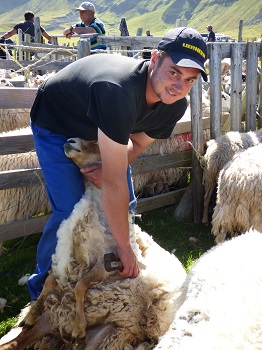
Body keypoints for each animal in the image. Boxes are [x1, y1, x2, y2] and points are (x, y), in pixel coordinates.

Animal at [1, 137, 187, 350]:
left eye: (97, 143)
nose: (69, 140)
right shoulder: (68, 260)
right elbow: (49, 281)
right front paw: (32, 315)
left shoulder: (104, 265)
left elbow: (80, 286)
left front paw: (78, 328)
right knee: (13, 343)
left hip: (109, 333)